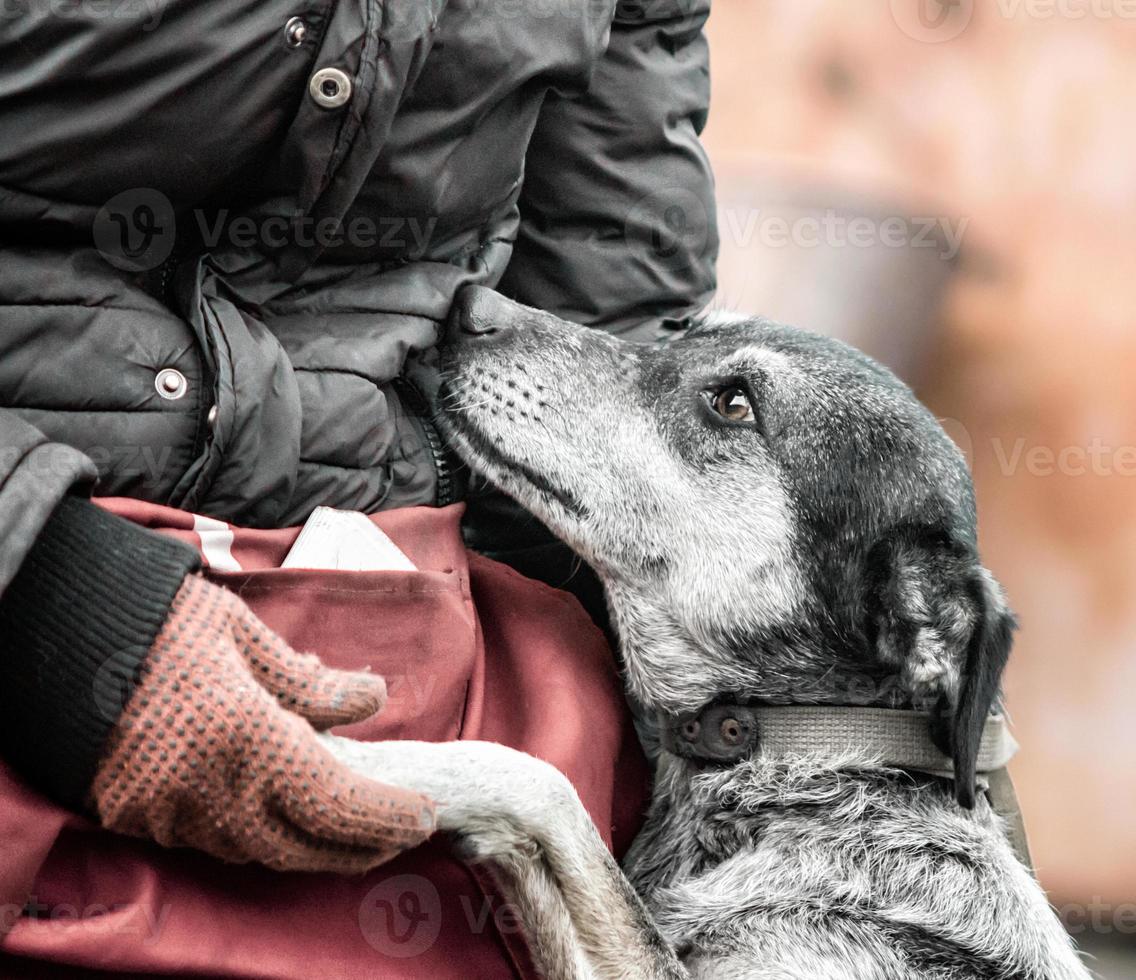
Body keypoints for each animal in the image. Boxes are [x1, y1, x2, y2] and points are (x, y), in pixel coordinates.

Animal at [324, 289, 1086, 980]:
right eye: (679, 331)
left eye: (734, 405)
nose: (468, 301)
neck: (804, 754)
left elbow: (542, 787)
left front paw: (340, 758)